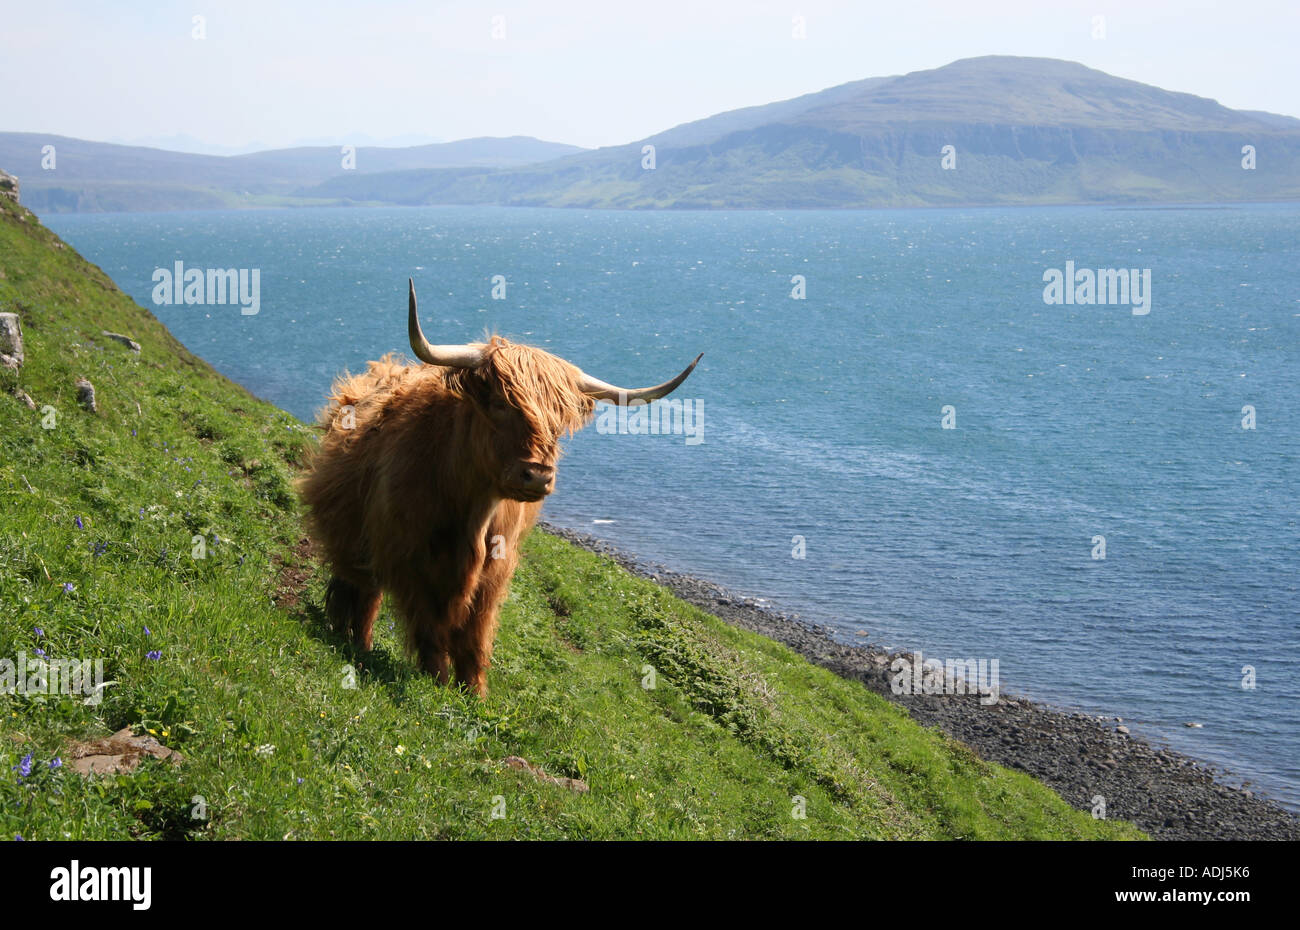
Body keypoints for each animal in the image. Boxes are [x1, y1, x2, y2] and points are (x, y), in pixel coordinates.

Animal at [298, 279, 701, 697]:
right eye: (499, 403)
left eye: (559, 421)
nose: (537, 475)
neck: (472, 512)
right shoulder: (409, 558)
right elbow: (429, 628)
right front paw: (437, 682)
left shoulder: (494, 572)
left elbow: (474, 636)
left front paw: (475, 694)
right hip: (354, 534)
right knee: (362, 593)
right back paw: (356, 645)